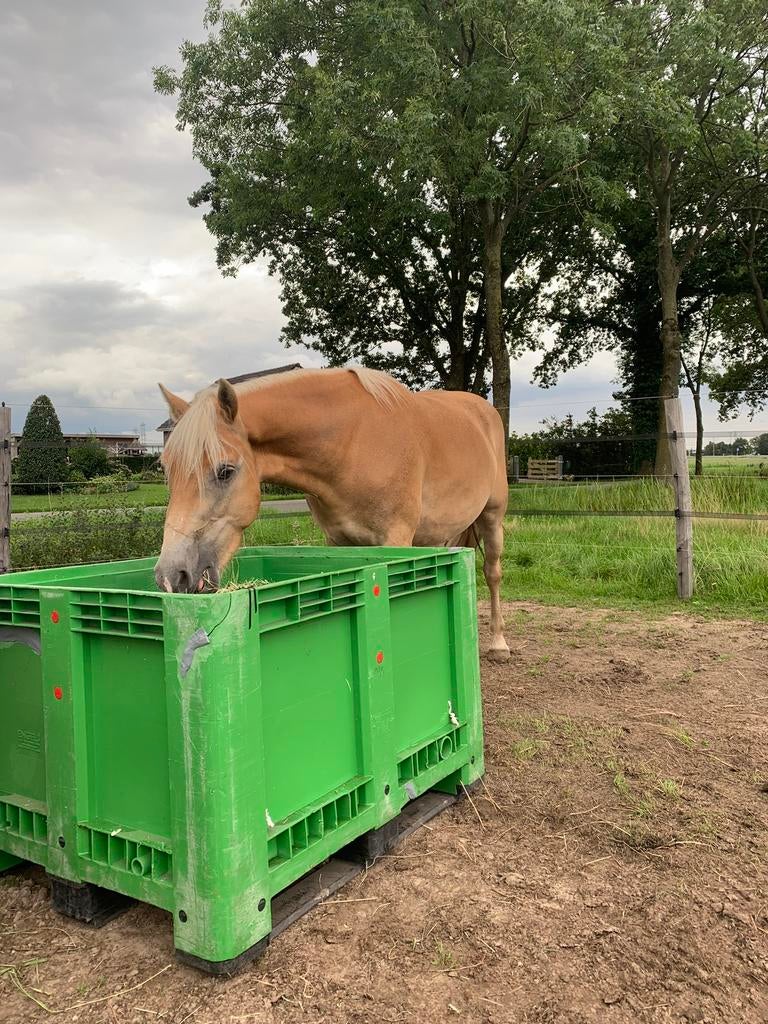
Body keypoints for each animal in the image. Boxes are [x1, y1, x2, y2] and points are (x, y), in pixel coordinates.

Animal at [155, 367, 510, 661]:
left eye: (225, 471)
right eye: (166, 470)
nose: (171, 576)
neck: (354, 443)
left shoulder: (395, 537)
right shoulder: (337, 540)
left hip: (492, 519)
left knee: (492, 573)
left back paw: (498, 644)